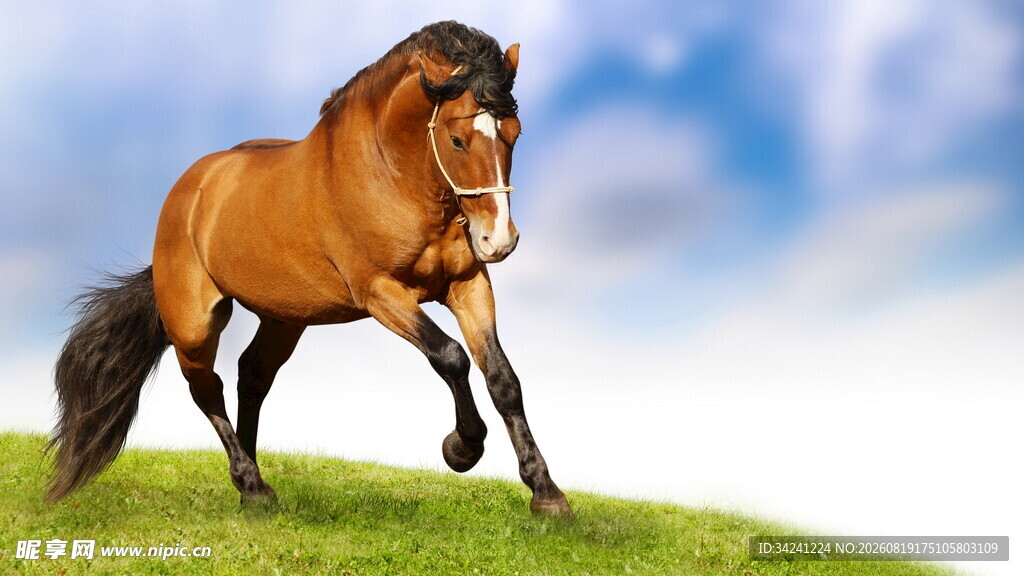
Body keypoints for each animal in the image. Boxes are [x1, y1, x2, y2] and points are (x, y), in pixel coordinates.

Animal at [47, 21, 572, 519]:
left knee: (252, 377)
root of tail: (189, 190)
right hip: (194, 324)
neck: (393, 176)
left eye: (515, 133)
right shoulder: (381, 292)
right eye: (458, 139)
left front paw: (547, 495)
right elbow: (450, 356)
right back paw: (253, 486)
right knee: (206, 389)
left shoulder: (467, 285)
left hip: (284, 318)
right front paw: (461, 448)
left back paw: (250, 486)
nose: (498, 241)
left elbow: (503, 378)